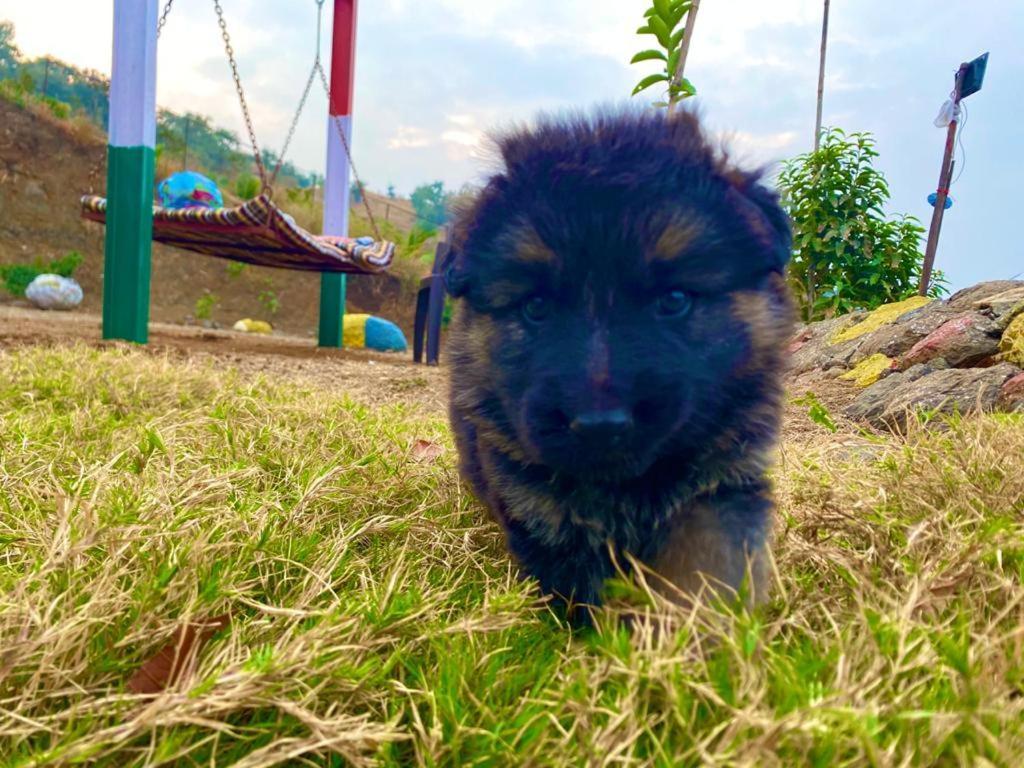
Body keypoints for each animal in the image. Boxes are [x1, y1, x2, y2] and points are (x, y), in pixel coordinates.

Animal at [446, 108, 790, 626]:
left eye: (674, 299)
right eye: (536, 307)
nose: (599, 424)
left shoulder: (723, 485)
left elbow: (706, 571)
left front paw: (697, 634)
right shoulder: (543, 511)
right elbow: (581, 594)